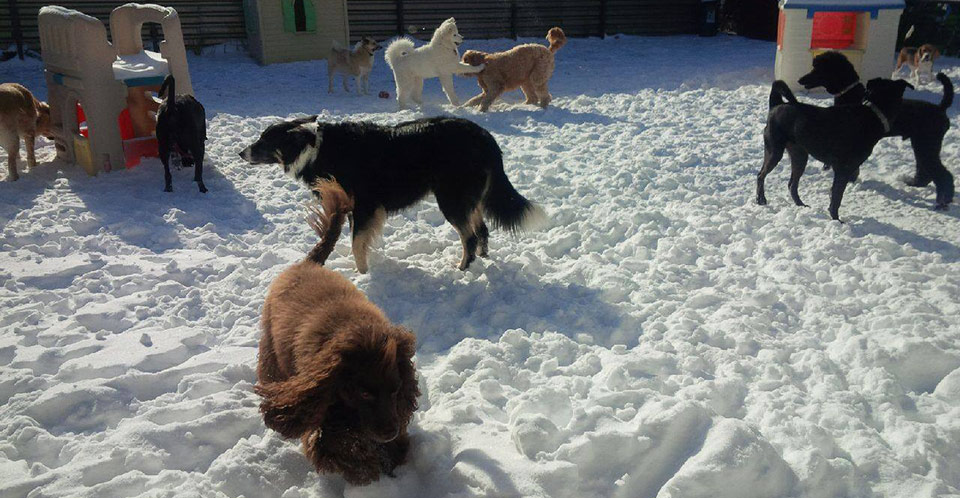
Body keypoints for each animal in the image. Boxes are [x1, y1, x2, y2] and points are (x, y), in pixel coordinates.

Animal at [238, 115, 548, 272]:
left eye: (265, 140)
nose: (241, 153)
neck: (314, 148)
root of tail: (486, 137)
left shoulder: (364, 206)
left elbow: (356, 243)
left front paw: (362, 275)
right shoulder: (356, 209)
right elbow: (358, 240)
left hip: (451, 198)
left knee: (469, 236)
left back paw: (462, 268)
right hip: (467, 198)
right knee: (482, 229)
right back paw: (483, 258)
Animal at [255, 180, 420, 486]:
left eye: (396, 389)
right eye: (364, 393)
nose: (390, 431)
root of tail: (308, 263)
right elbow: (337, 446)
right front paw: (365, 468)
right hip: (270, 349)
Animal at [756, 79, 908, 223]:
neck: (874, 114)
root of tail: (776, 105)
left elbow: (835, 194)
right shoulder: (843, 169)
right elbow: (837, 196)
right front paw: (836, 220)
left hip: (800, 155)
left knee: (792, 184)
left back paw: (801, 206)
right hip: (774, 151)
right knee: (761, 175)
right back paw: (761, 200)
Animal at [796, 52, 952, 210]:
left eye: (818, 68)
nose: (800, 80)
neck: (851, 93)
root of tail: (941, 108)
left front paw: (850, 179)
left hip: (926, 142)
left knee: (942, 174)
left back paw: (943, 201)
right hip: (921, 143)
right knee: (926, 169)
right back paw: (916, 184)